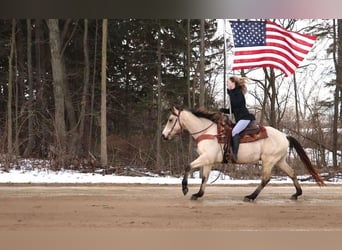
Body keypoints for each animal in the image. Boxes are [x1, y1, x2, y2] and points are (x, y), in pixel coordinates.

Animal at [162, 106, 324, 202]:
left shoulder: (206, 158)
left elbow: (188, 166)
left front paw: (185, 189)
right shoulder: (208, 161)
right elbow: (204, 178)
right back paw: (297, 193)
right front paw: (198, 194)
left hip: (268, 160)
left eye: (170, 120)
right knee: (292, 173)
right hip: (279, 160)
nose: (163, 136)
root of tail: (285, 135)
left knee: (265, 179)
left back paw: (251, 196)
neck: (208, 133)